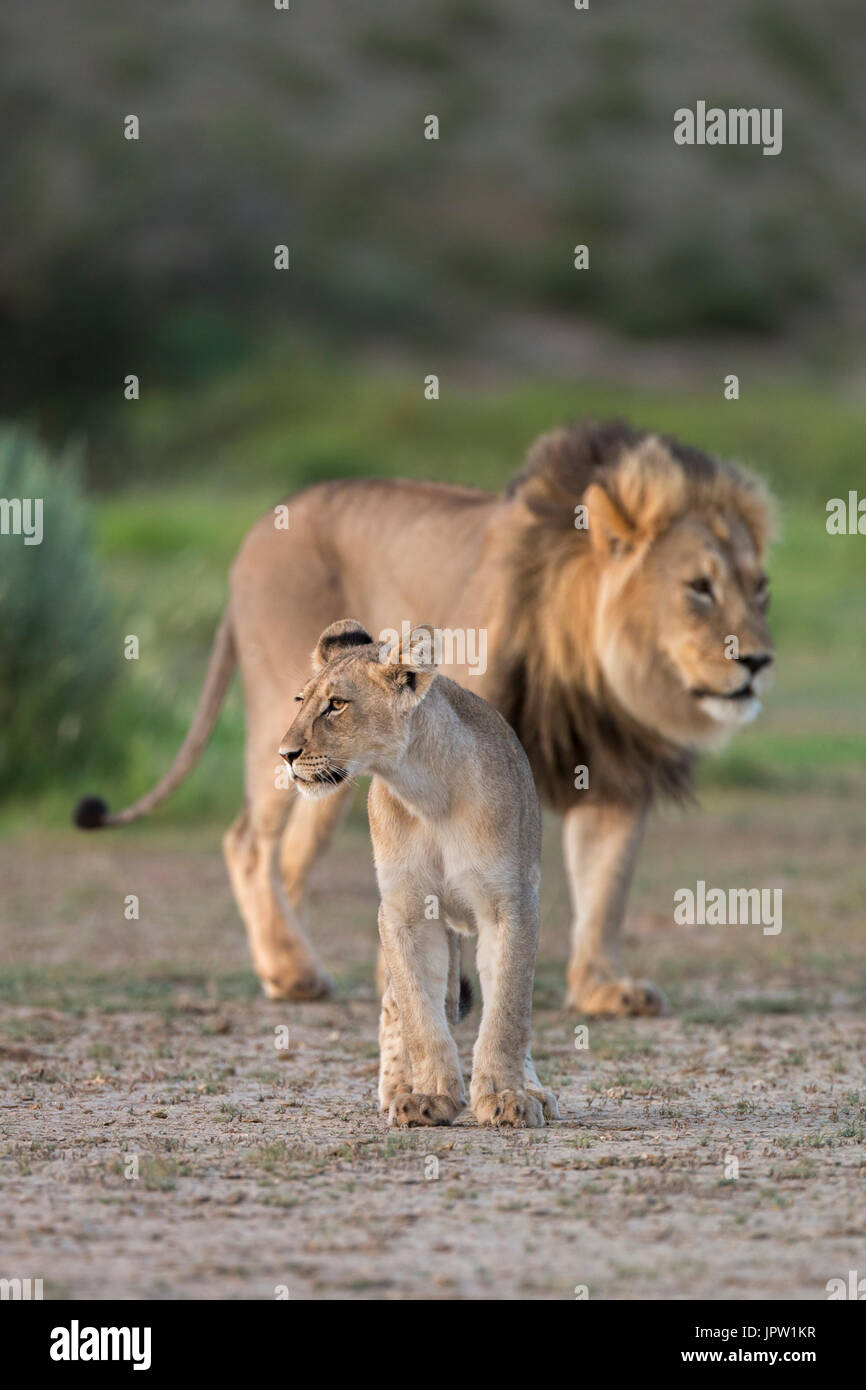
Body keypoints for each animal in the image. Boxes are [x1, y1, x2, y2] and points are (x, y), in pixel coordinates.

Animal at [74, 417, 778, 1017]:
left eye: (760, 587)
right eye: (699, 587)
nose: (759, 661)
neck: (595, 672)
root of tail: (253, 535)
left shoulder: (615, 772)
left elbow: (606, 887)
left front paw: (603, 989)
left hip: (327, 771)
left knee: (291, 856)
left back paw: (283, 965)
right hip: (288, 725)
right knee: (249, 841)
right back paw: (293, 966)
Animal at [279, 619, 561, 1128]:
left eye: (337, 704)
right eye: (301, 700)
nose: (284, 754)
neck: (426, 793)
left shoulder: (510, 904)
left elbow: (508, 1010)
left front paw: (507, 1095)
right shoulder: (405, 911)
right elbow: (418, 1014)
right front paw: (429, 1097)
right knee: (396, 1005)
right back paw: (396, 1087)